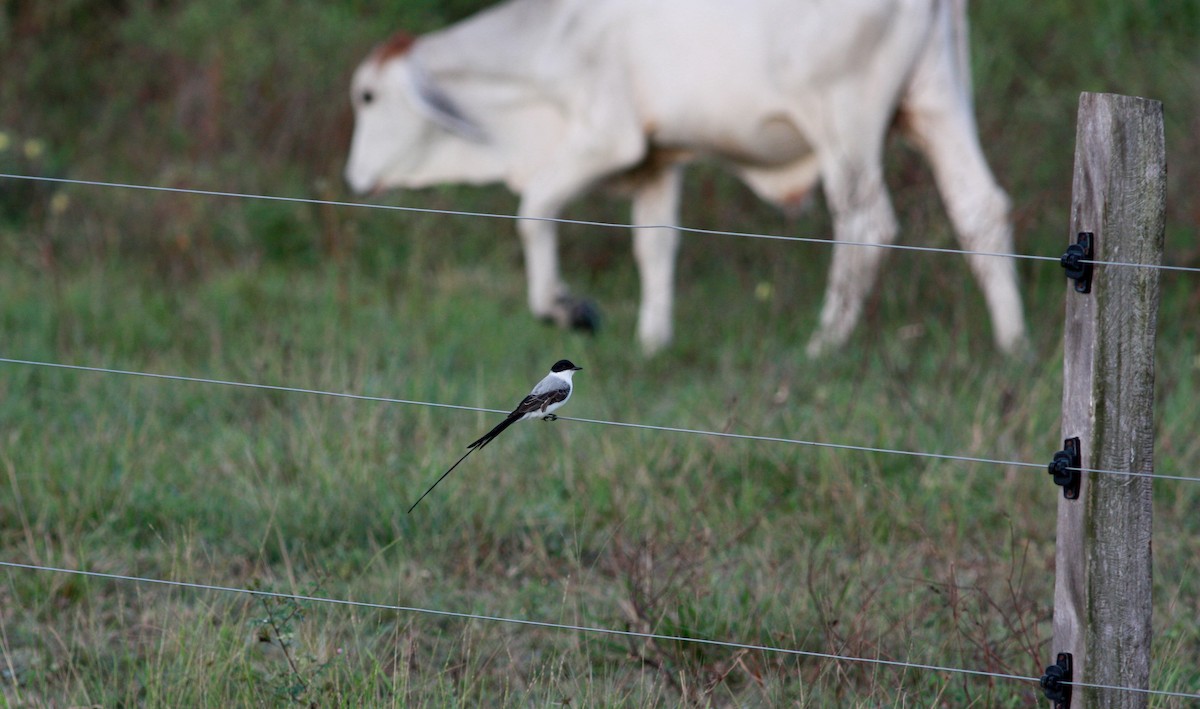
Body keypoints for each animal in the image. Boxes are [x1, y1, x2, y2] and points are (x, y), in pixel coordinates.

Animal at [343, 0, 1027, 357]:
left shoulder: (605, 140)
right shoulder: (658, 159)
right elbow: (655, 247)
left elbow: (534, 211)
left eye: (369, 96)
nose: (352, 178)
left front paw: (566, 309)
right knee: (980, 209)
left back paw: (821, 346)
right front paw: (653, 342)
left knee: (867, 223)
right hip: (935, 103)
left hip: (845, 121)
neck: (550, 40)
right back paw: (1013, 345)